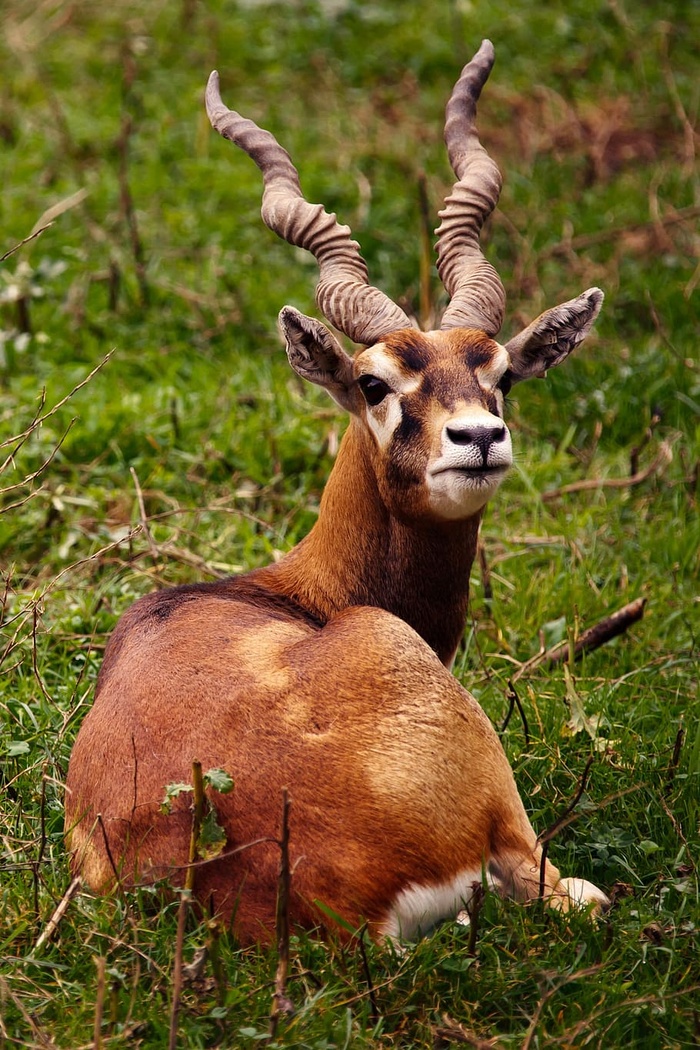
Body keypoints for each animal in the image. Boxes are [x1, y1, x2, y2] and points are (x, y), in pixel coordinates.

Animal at [65, 40, 608, 944]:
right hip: (500, 808)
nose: (478, 438)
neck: (298, 592)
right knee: (569, 893)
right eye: (374, 381)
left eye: (498, 373)